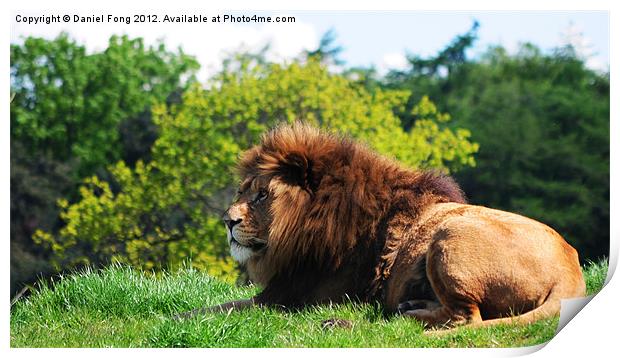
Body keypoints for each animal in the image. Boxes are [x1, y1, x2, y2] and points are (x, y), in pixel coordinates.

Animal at [180, 122, 588, 330]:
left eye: (262, 195)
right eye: (241, 191)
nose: (227, 221)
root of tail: (571, 274)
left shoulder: (295, 298)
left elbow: (223, 307)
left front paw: (176, 315)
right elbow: (218, 306)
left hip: (447, 237)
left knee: (465, 318)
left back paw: (403, 315)